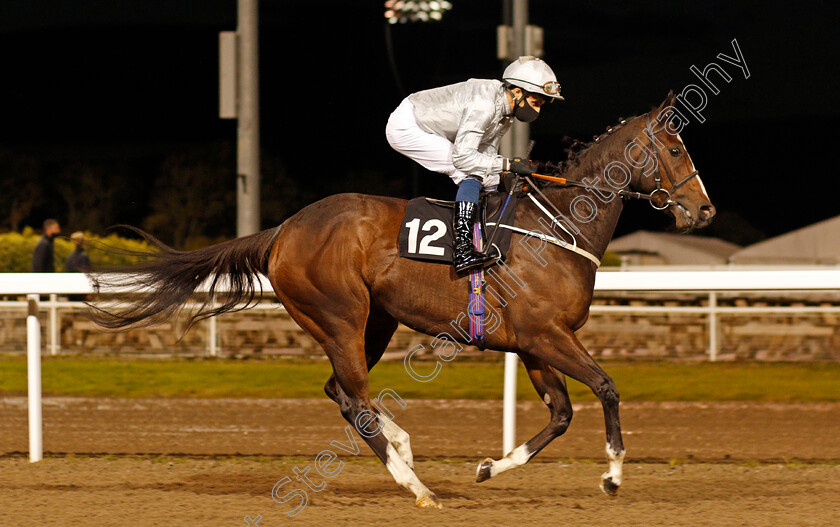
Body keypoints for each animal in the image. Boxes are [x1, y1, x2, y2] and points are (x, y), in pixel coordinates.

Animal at [87, 93, 716, 510]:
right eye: (675, 148)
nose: (705, 211)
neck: (558, 224)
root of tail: (283, 231)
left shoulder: (535, 344)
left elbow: (560, 414)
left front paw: (490, 467)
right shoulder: (547, 336)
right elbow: (606, 387)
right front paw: (613, 474)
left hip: (376, 321)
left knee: (339, 391)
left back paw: (406, 449)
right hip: (341, 316)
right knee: (356, 400)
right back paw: (415, 485)